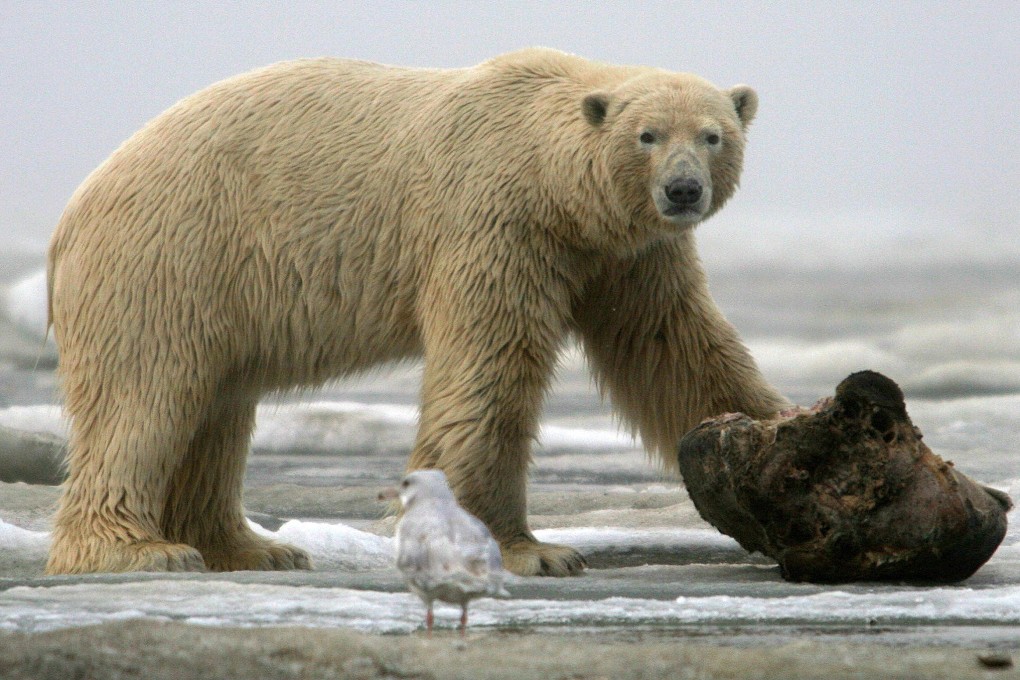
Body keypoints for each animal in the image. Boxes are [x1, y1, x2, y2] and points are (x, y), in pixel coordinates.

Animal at [46, 48, 788, 576]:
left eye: (714, 135)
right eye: (647, 135)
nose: (683, 190)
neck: (550, 182)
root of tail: (74, 209)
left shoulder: (626, 255)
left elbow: (676, 345)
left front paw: (774, 438)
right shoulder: (496, 222)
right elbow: (491, 372)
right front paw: (532, 550)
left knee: (216, 411)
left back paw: (256, 548)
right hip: (172, 259)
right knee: (145, 399)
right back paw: (140, 549)